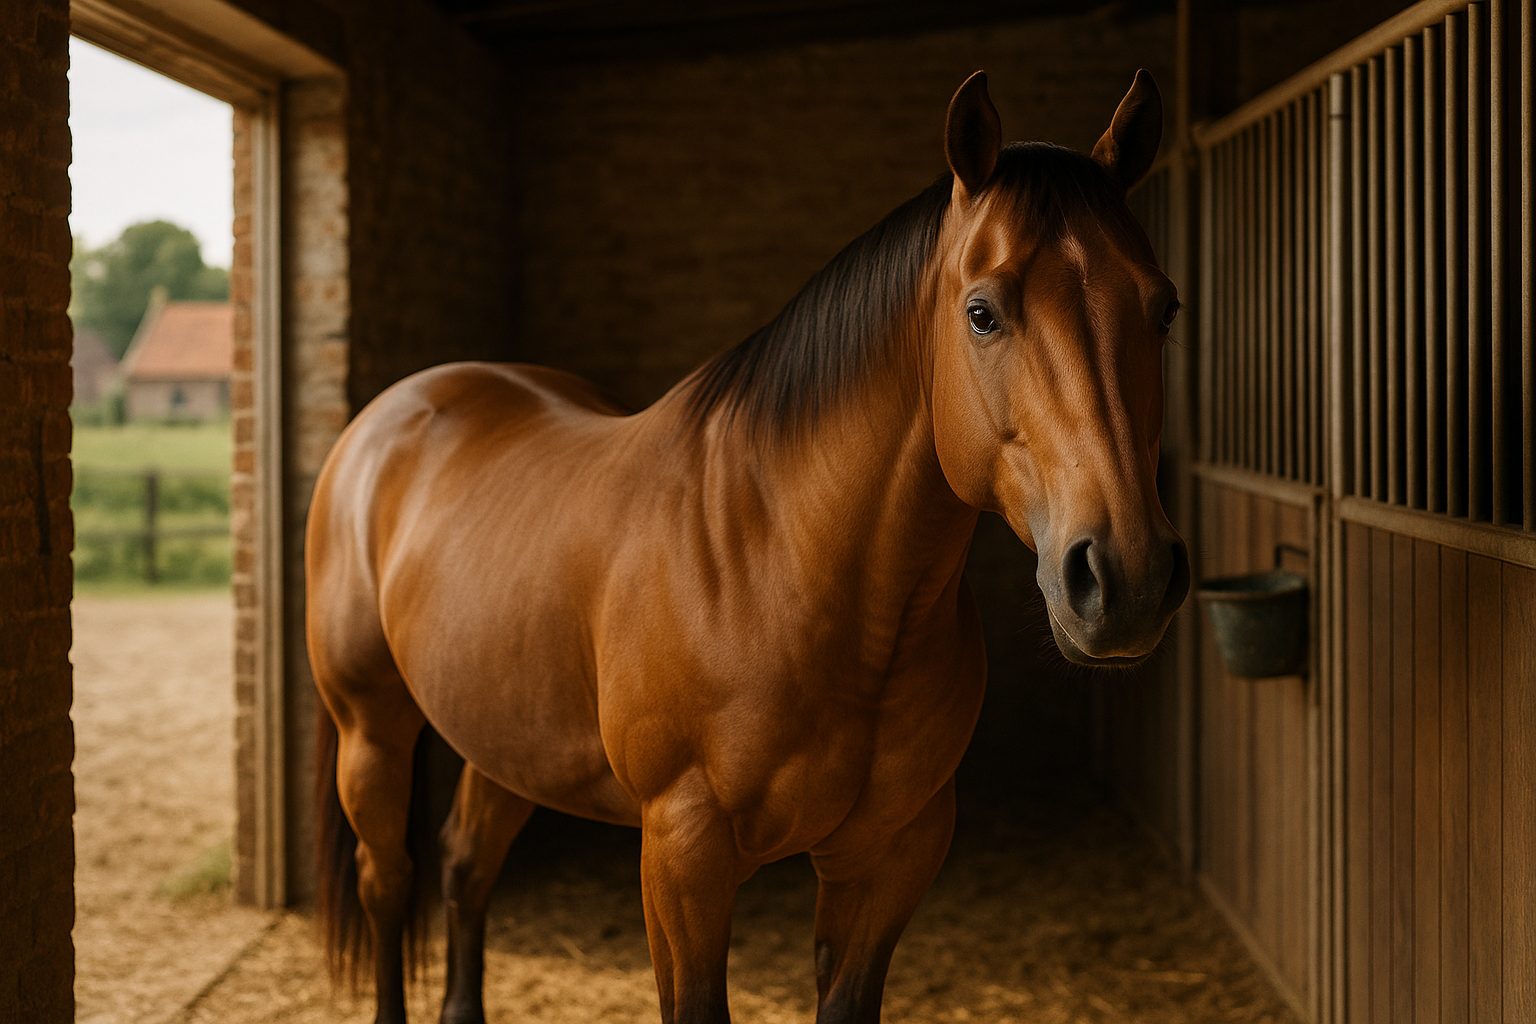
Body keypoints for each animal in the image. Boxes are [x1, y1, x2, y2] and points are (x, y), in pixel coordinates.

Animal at [308, 68, 1187, 1024]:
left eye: (1164, 308)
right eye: (983, 312)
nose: (1128, 578)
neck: (785, 567)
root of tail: (390, 417)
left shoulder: (891, 856)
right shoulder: (683, 856)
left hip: (506, 737)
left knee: (466, 867)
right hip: (372, 729)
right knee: (389, 881)